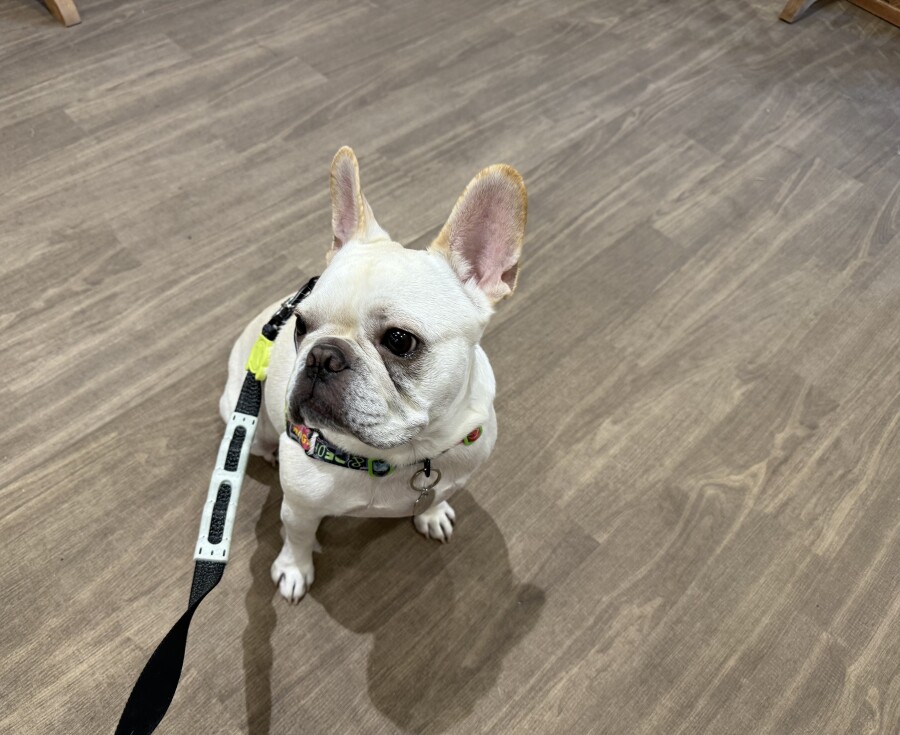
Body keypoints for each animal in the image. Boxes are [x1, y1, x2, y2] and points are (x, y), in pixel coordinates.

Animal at [219, 147, 527, 603]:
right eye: (301, 325)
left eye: (400, 340)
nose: (322, 356)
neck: (400, 456)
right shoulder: (299, 509)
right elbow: (296, 538)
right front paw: (294, 569)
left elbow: (440, 494)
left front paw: (432, 513)